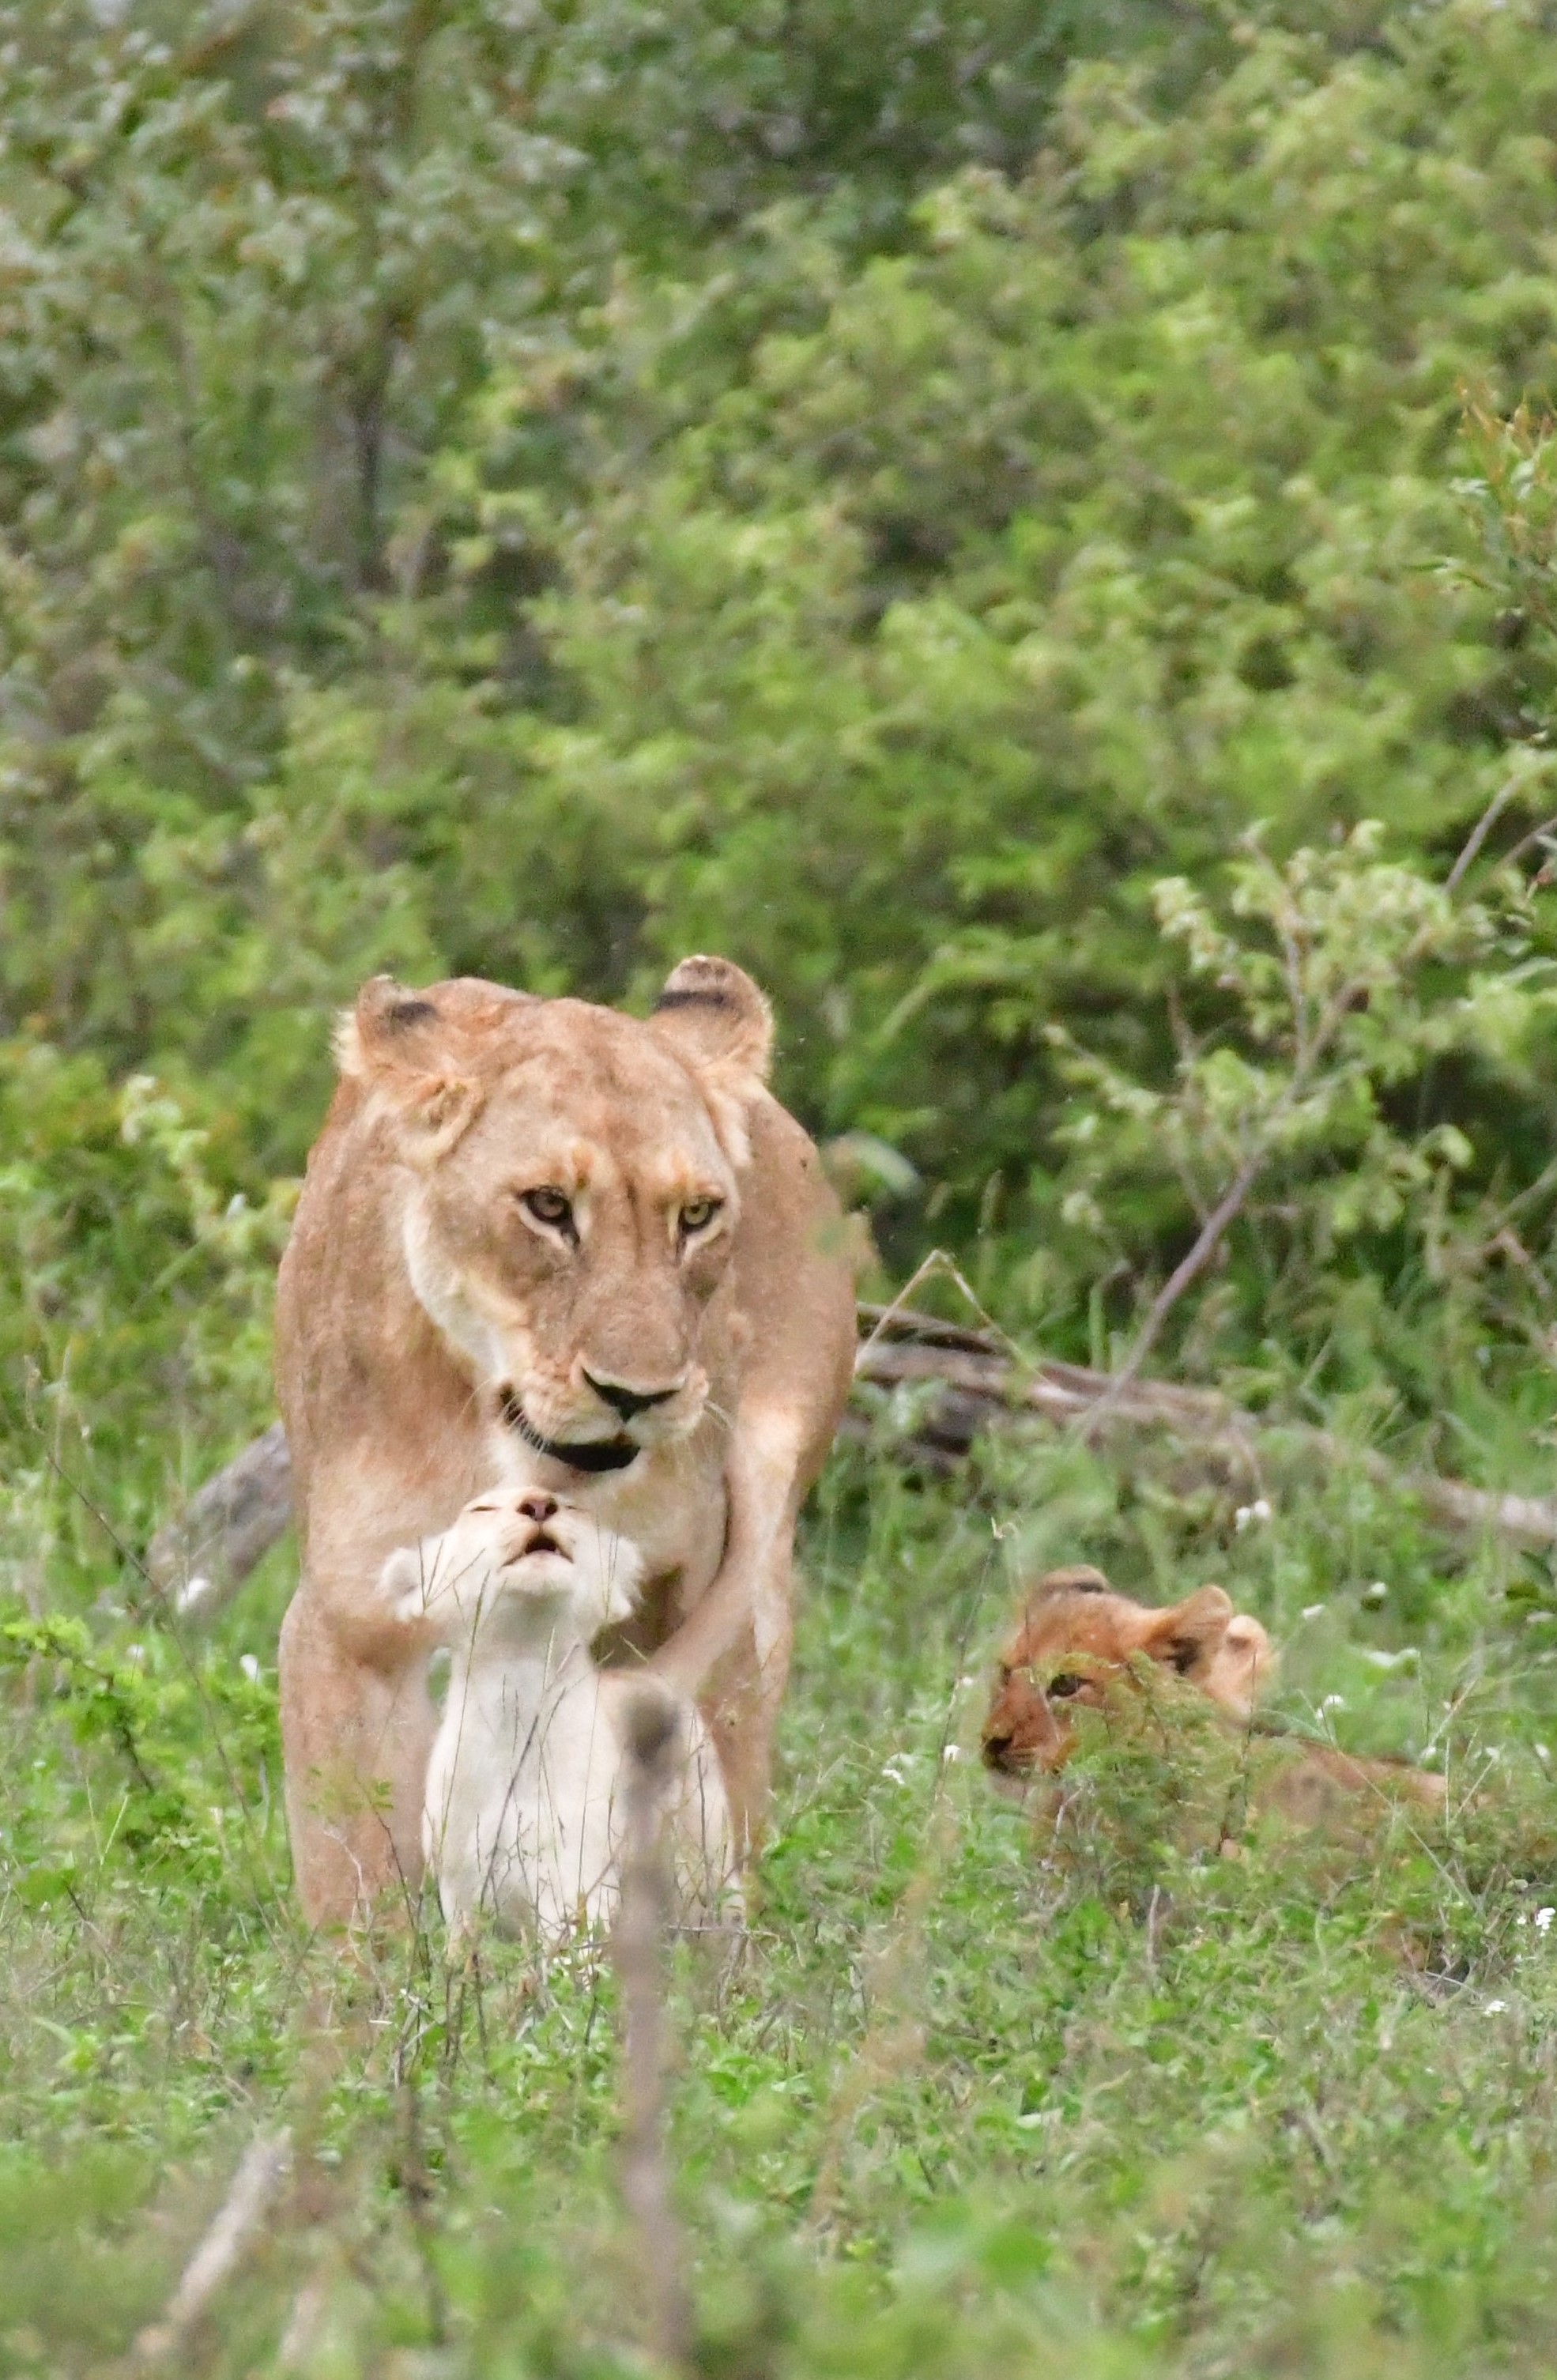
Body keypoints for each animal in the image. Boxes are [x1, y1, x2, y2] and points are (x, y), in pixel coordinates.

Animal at [383, 1488, 737, 1943]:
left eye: (571, 1507)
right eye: (481, 1509)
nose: (538, 1503)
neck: (521, 1680)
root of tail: (650, 1674)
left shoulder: (576, 1880)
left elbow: (572, 1953)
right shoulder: (460, 1889)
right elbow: (462, 1956)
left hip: (704, 1862)